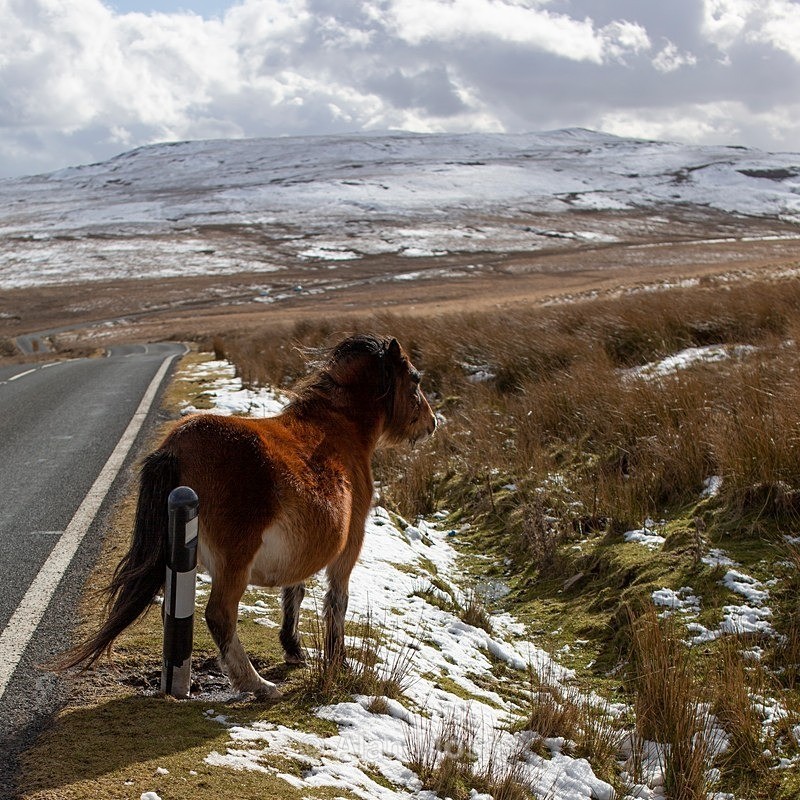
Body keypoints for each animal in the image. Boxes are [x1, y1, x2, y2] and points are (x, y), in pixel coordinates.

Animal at [60, 334, 436, 698]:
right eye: (415, 379)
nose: (432, 423)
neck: (339, 428)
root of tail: (176, 446)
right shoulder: (348, 547)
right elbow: (337, 602)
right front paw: (337, 661)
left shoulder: (303, 549)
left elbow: (294, 592)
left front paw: (293, 648)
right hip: (234, 563)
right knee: (220, 615)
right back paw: (257, 685)